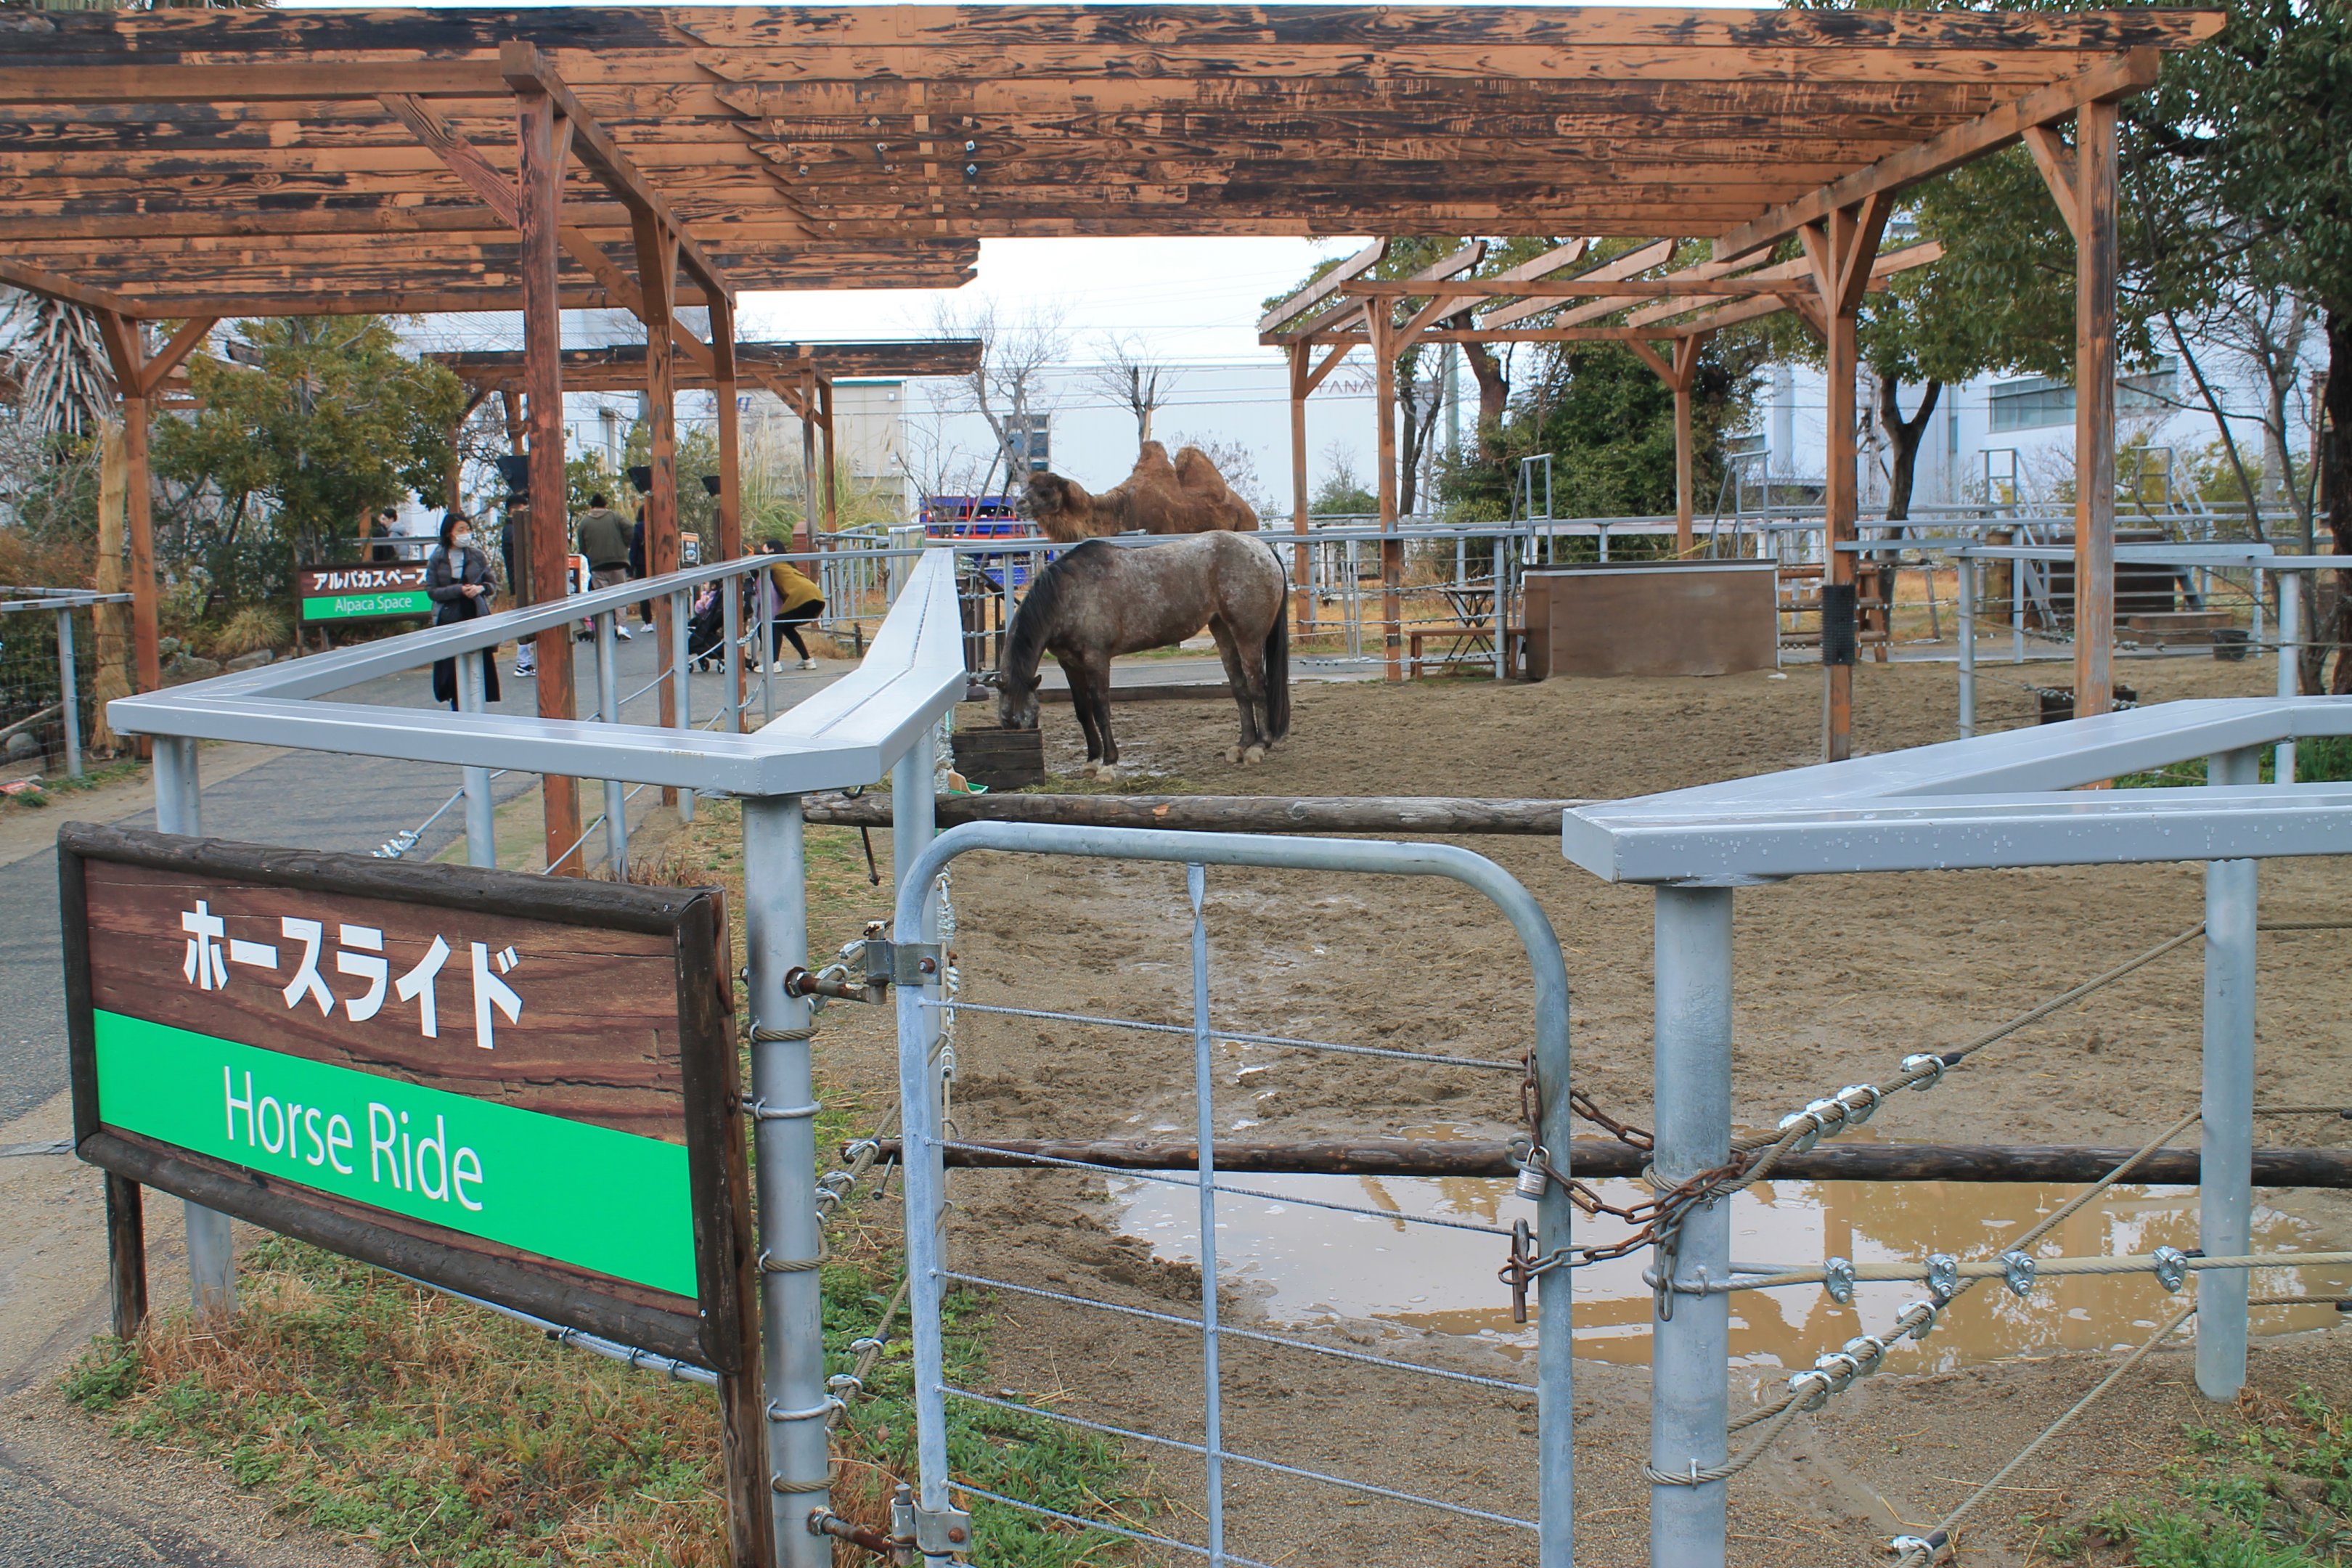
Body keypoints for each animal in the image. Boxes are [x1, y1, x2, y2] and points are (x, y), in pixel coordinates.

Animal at [996, 532, 1290, 777]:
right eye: (1005, 722)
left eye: (1021, 721)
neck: (1070, 594)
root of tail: (1263, 549)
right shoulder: (1069, 664)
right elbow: (1083, 711)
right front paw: (1092, 760)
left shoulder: (1096, 660)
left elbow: (1101, 710)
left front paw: (1109, 764)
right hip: (1223, 631)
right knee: (1240, 688)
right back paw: (1242, 745)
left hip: (1247, 636)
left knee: (1257, 686)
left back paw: (1259, 747)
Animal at [1020, 440, 1260, 543]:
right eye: (1027, 486)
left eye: (1045, 491)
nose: (1020, 504)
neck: (1121, 509)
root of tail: (1250, 512)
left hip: (1247, 527)